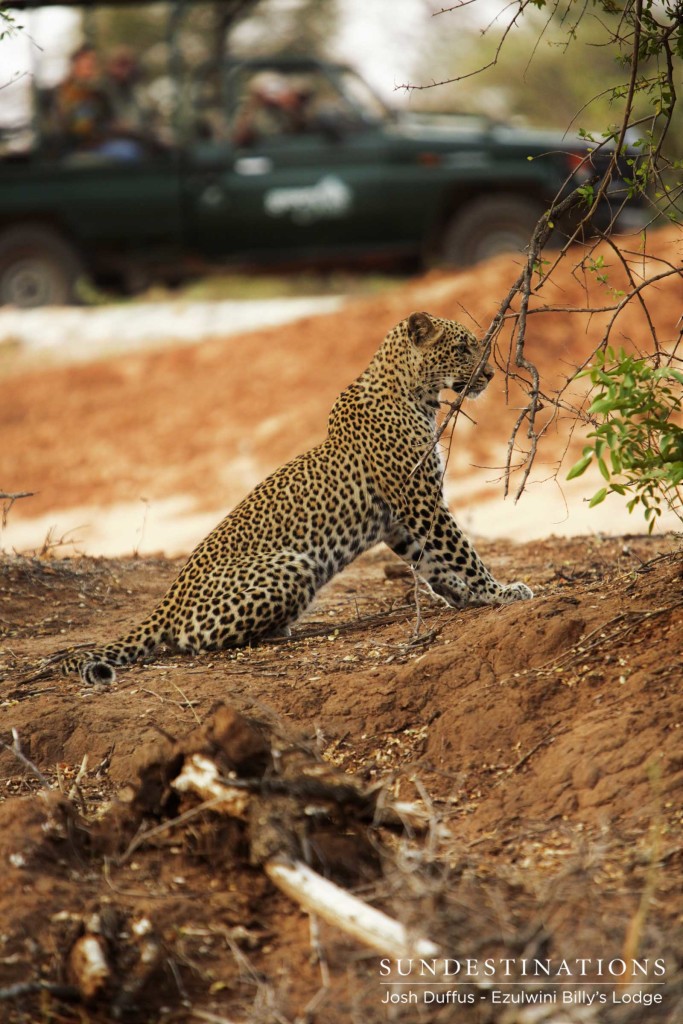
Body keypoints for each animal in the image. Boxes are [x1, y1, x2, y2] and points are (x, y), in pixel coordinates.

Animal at [60, 307, 532, 684]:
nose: (490, 375)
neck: (416, 395)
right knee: (191, 640)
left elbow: (431, 560)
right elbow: (463, 552)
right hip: (294, 565)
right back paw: (276, 631)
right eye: (462, 348)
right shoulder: (420, 500)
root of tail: (167, 602)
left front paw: (463, 595)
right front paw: (499, 592)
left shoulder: (399, 519)